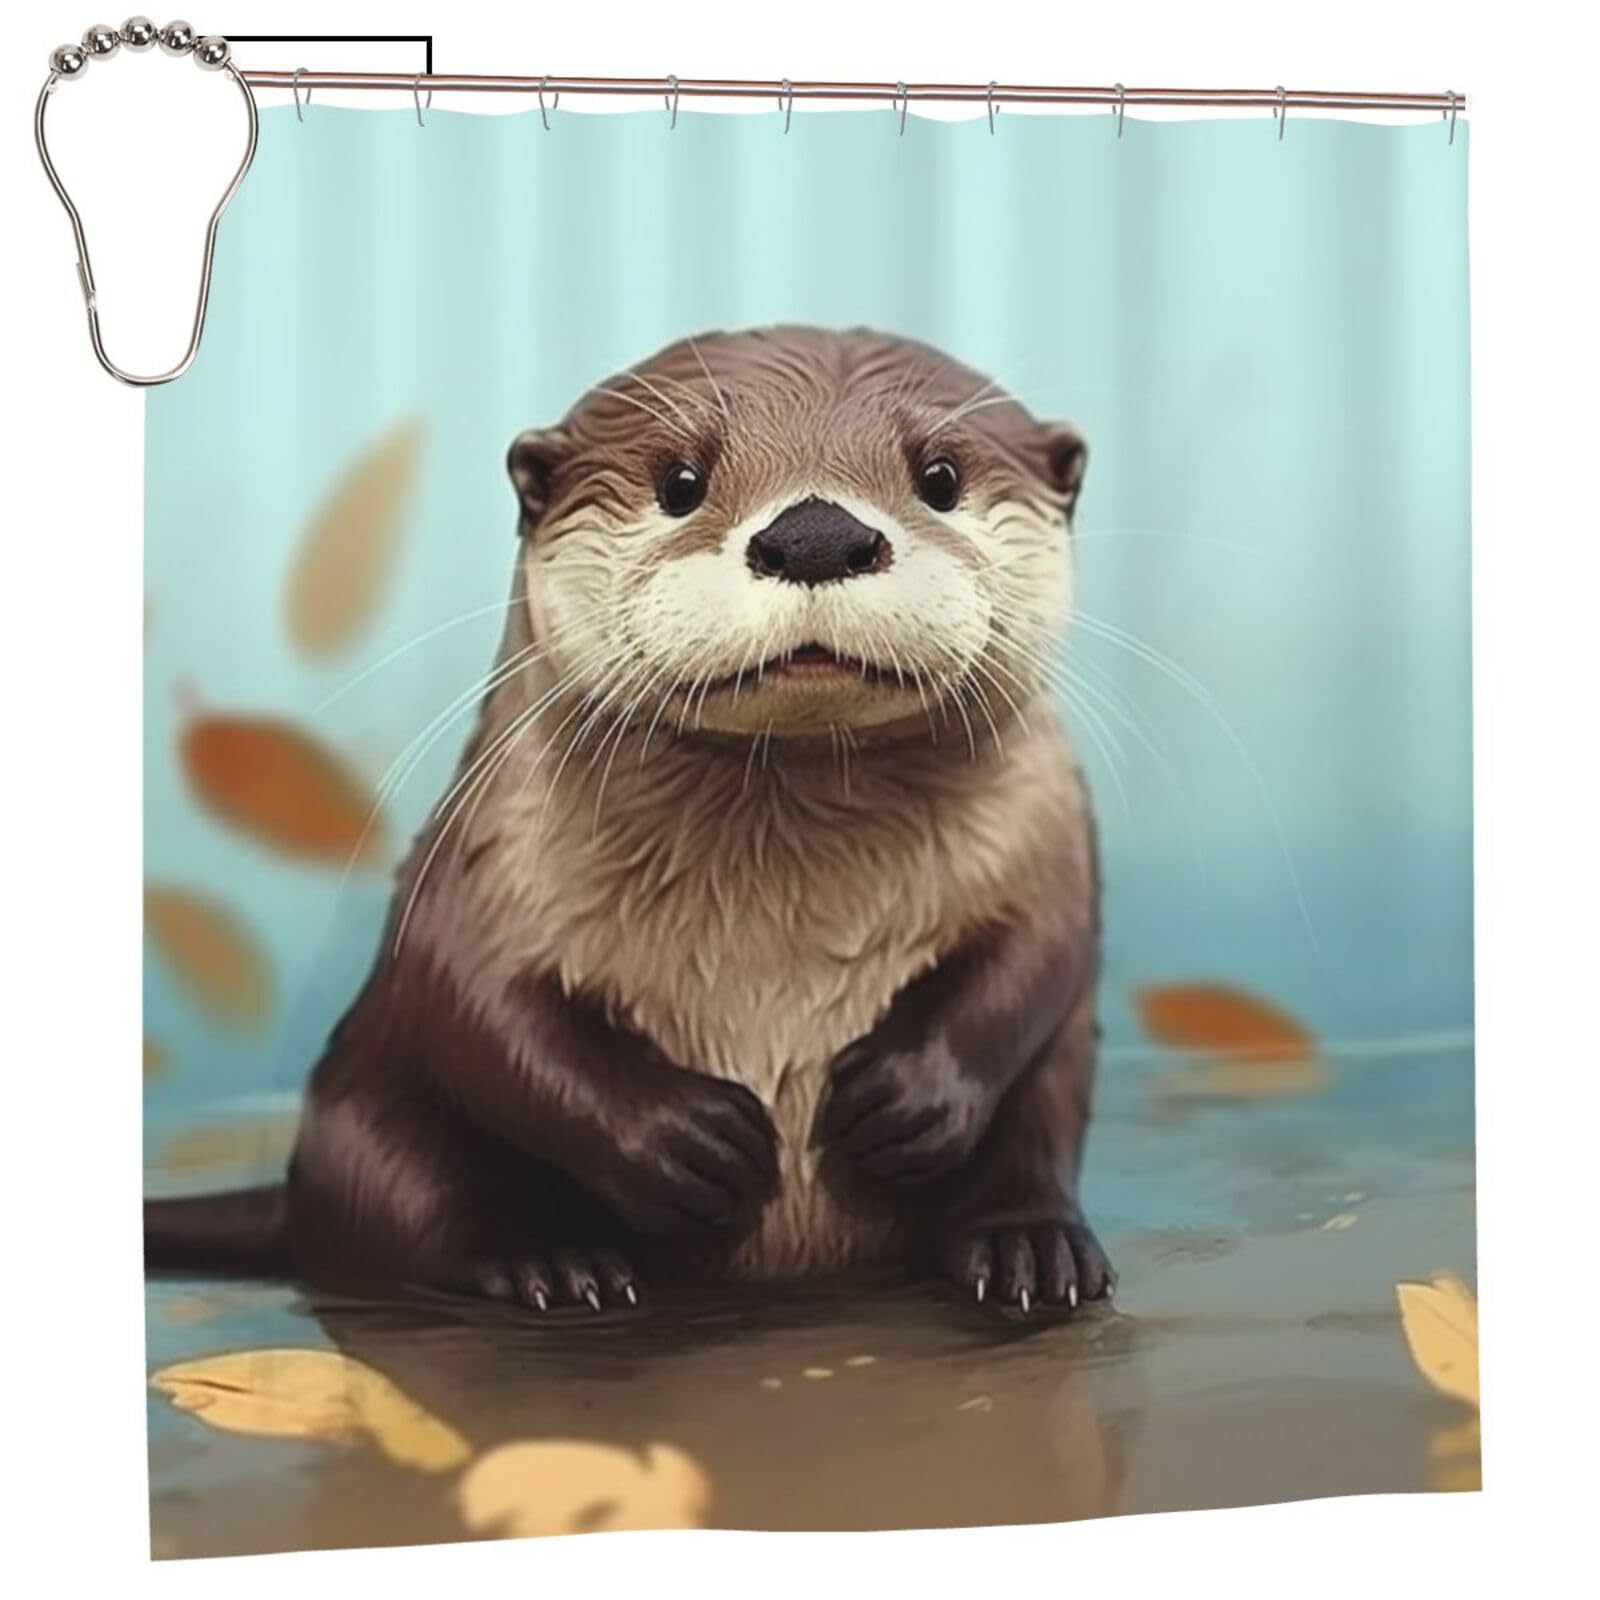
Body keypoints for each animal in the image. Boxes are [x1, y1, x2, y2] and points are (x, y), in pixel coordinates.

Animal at [146, 326, 1113, 1318]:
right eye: (680, 480)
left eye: (941, 476)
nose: (815, 534)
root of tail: (295, 1194)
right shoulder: (486, 856)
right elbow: (479, 1001)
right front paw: (684, 1140)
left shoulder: (1048, 830)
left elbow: (1037, 956)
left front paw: (909, 1095)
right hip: (373, 1116)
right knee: (420, 1211)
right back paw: (552, 1259)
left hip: (1060, 1077)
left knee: (1033, 1130)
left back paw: (1029, 1248)